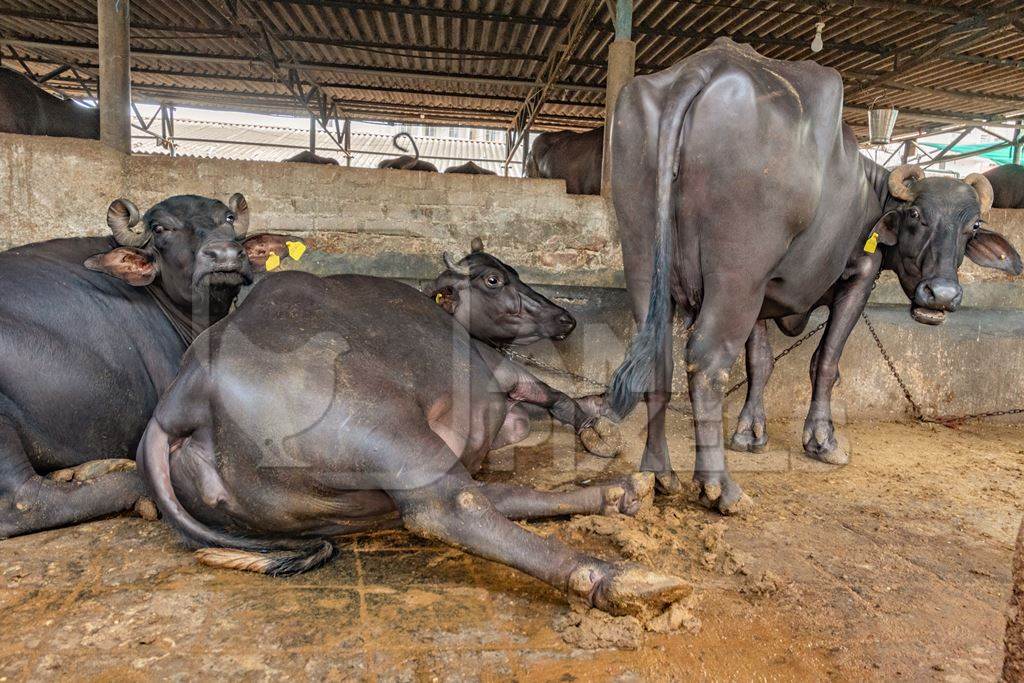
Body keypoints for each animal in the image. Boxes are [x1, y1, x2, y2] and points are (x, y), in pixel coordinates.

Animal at [136, 270, 688, 618]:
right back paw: (623, 579)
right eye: (495, 279)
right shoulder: (504, 371)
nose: (564, 319)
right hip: (385, 430)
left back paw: (622, 495)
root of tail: (181, 400)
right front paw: (597, 425)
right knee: (451, 509)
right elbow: (553, 394)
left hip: (346, 499)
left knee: (484, 499)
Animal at [602, 38, 1019, 511]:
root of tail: (704, 66)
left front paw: (749, 433)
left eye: (973, 228)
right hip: (736, 276)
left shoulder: (764, 294)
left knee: (657, 356)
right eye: (916, 215)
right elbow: (826, 360)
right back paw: (720, 487)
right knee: (707, 362)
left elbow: (760, 362)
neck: (870, 193)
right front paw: (822, 440)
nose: (943, 295)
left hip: (642, 254)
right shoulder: (859, 277)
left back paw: (658, 473)